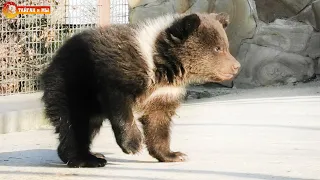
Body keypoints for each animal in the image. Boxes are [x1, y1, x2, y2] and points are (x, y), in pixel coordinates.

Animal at [40, 11, 240, 168]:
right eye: (218, 48)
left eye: (225, 46)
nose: (236, 66)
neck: (159, 65)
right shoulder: (121, 70)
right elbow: (119, 104)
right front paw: (133, 144)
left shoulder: (164, 92)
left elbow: (158, 121)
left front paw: (174, 155)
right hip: (72, 82)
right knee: (74, 121)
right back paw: (87, 159)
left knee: (86, 124)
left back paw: (93, 155)